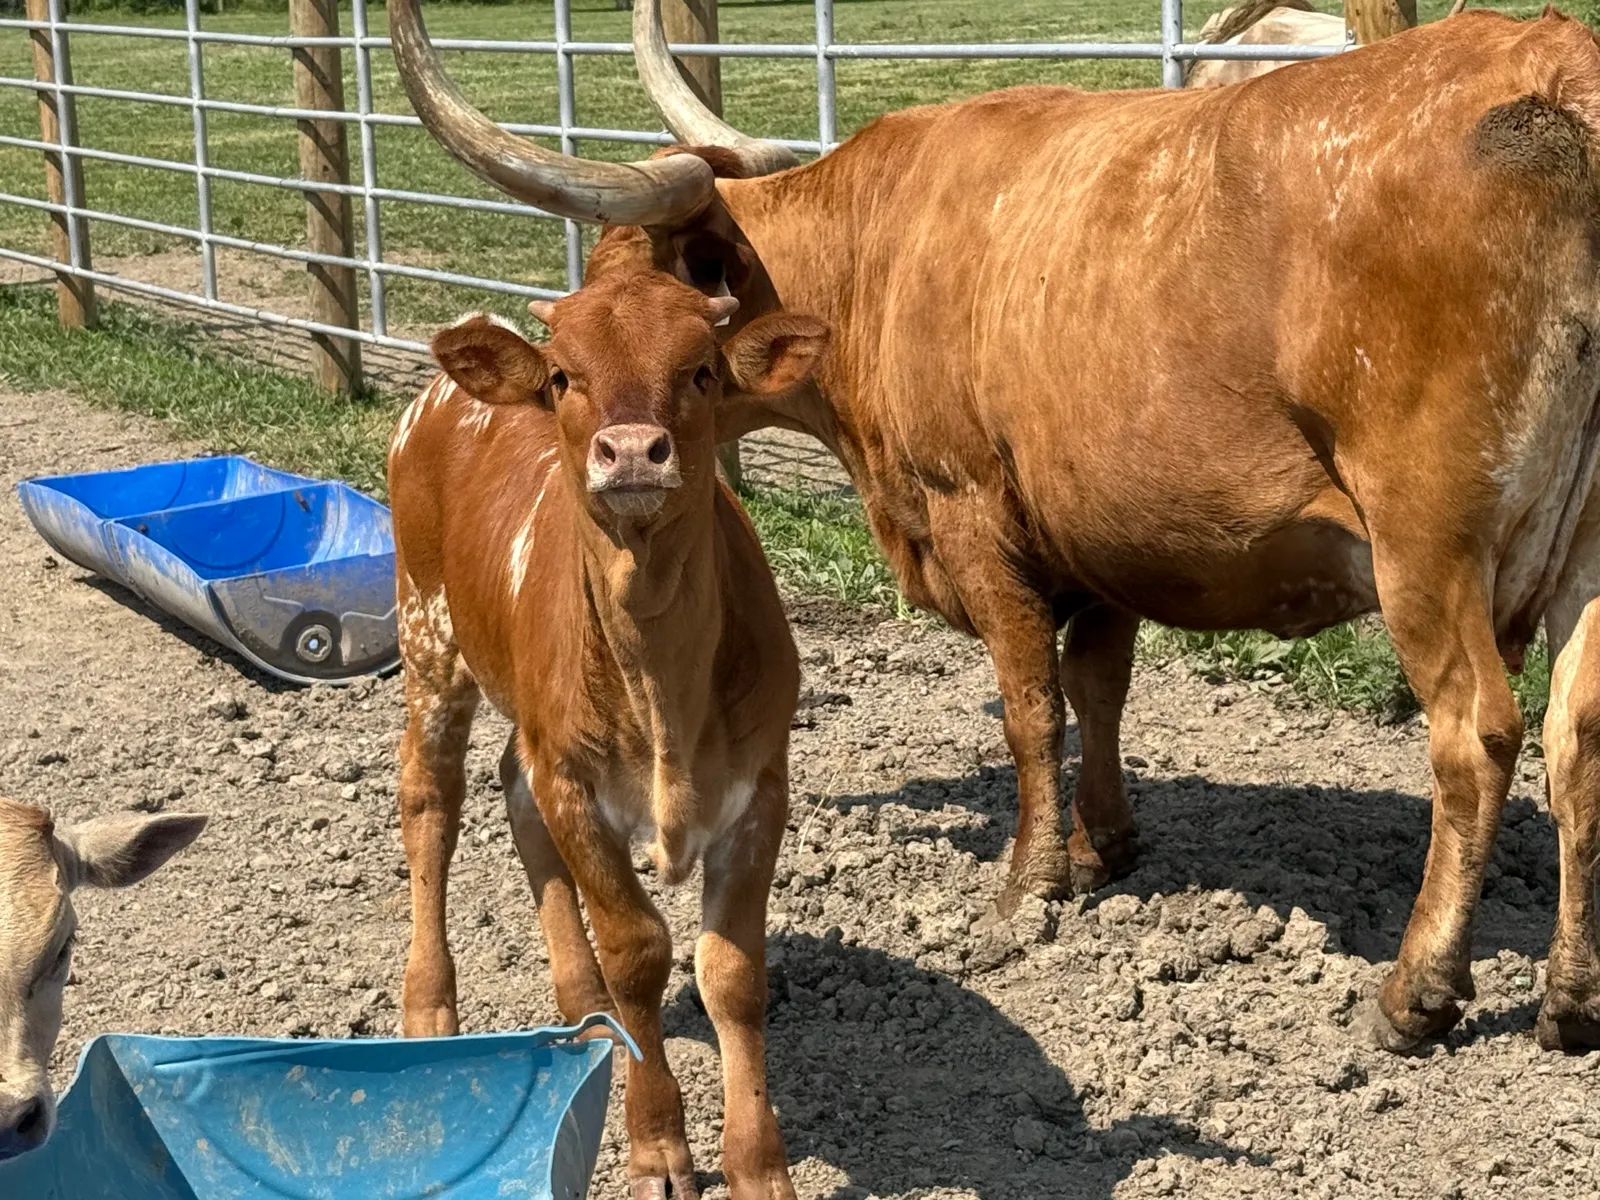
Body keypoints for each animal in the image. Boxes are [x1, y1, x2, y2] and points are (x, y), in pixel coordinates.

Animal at [386, 268, 829, 1197]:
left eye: (702, 370)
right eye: (564, 377)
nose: (629, 450)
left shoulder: (761, 788)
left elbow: (733, 973)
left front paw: (757, 1163)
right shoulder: (578, 788)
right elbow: (637, 951)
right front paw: (656, 1142)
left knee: (514, 791)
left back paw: (584, 1014)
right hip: (428, 636)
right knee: (431, 804)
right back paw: (429, 1004)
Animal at [388, 0, 1600, 1057]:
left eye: (646, 322)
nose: (603, 451)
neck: (876, 256)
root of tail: (1552, 68)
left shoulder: (975, 513)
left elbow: (1029, 705)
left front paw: (1031, 883)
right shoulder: (1105, 533)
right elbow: (1100, 688)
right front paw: (1105, 845)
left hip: (1424, 538)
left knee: (1475, 738)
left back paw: (1416, 994)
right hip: (1583, 553)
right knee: (1574, 736)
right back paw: (1568, 1000)